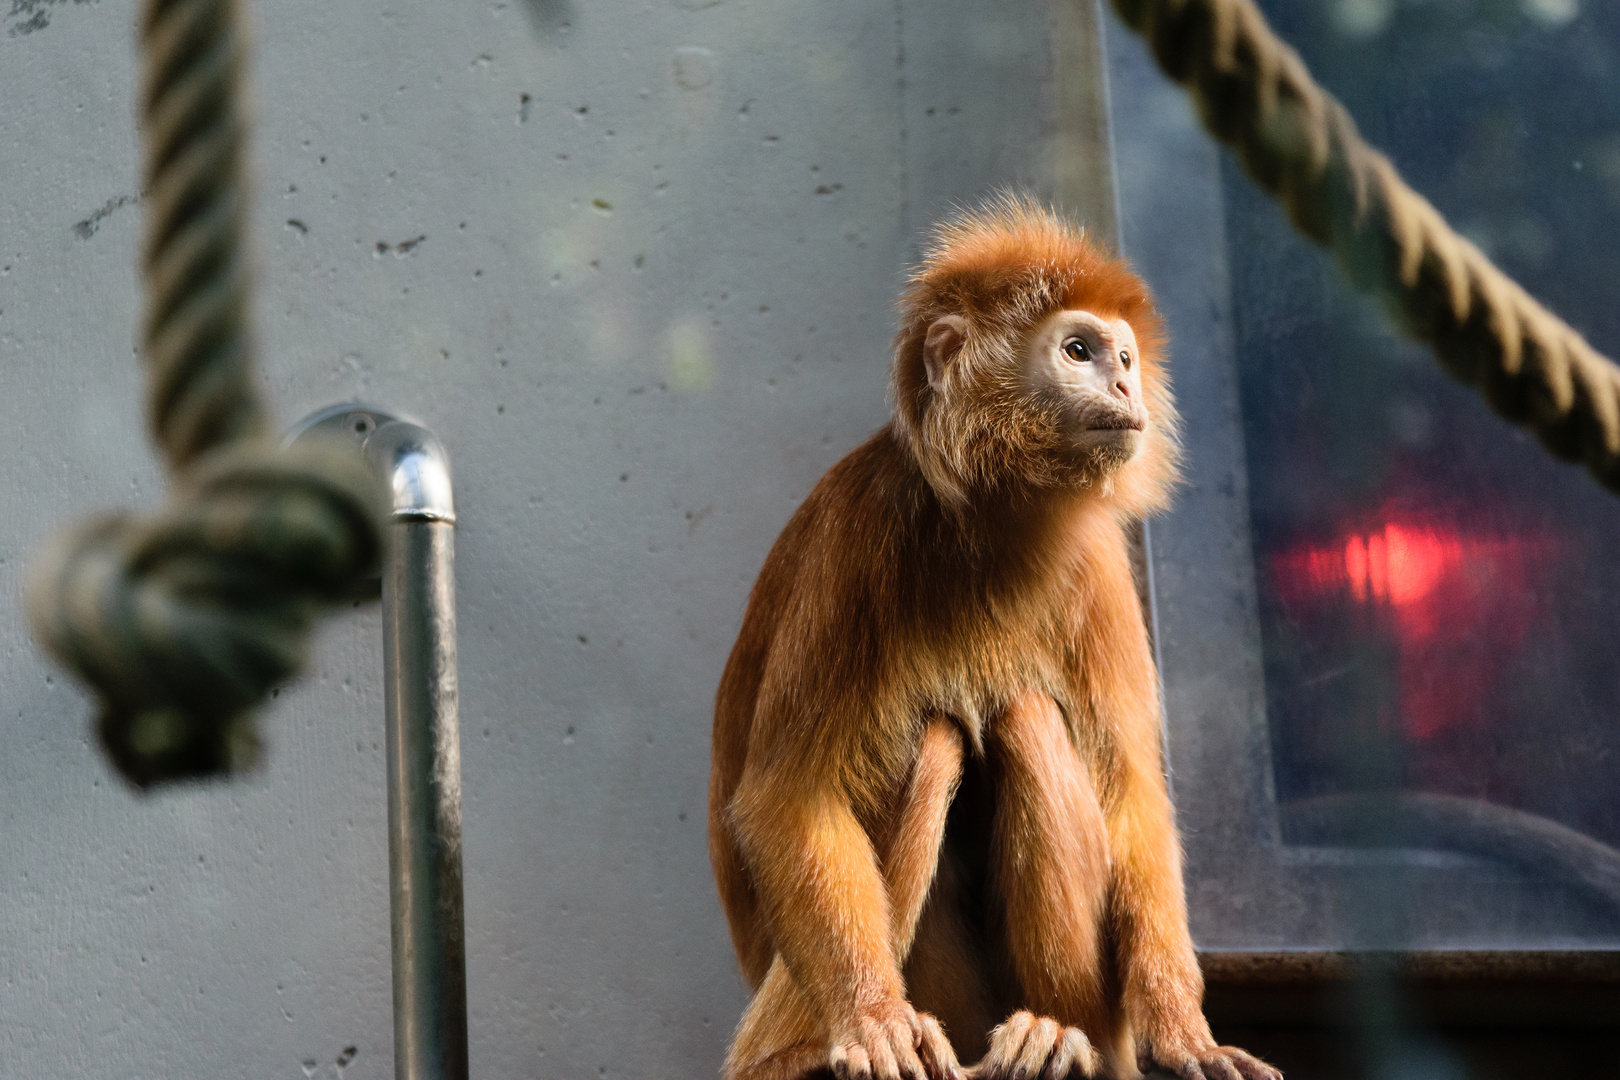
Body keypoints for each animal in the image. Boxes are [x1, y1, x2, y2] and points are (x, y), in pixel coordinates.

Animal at [709, 198, 1276, 1080]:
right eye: (1077, 352)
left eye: (1123, 356)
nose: (1124, 380)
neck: (995, 522)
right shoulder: (855, 534)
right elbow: (789, 797)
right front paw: (872, 1019)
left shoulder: (1098, 566)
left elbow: (1132, 793)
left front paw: (1187, 1032)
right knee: (934, 740)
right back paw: (802, 1054)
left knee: (1028, 719)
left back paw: (1056, 1035)